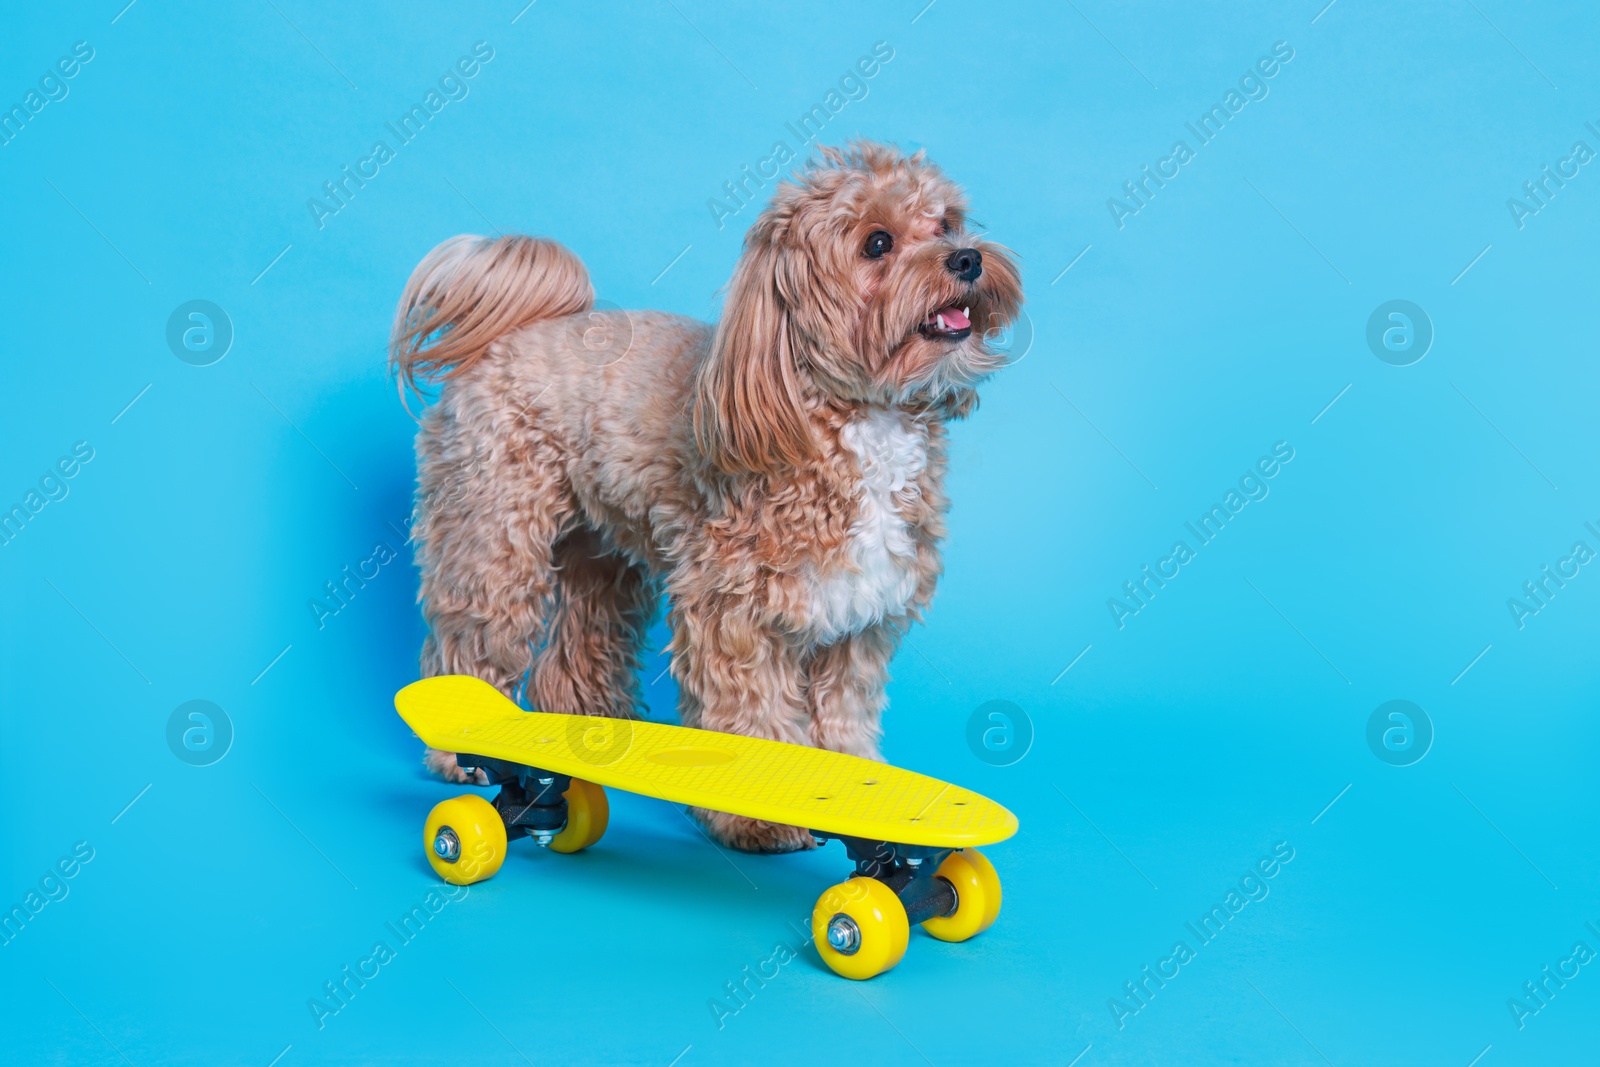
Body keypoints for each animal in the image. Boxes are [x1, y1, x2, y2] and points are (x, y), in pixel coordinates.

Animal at [393, 141, 1030, 851]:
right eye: (878, 243)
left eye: (947, 223)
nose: (968, 258)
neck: (850, 414)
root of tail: (509, 335)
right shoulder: (735, 612)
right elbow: (752, 717)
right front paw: (762, 818)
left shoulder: (858, 618)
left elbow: (844, 714)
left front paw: (861, 799)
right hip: (493, 537)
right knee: (476, 638)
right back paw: (466, 752)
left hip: (602, 554)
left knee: (582, 638)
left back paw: (587, 733)